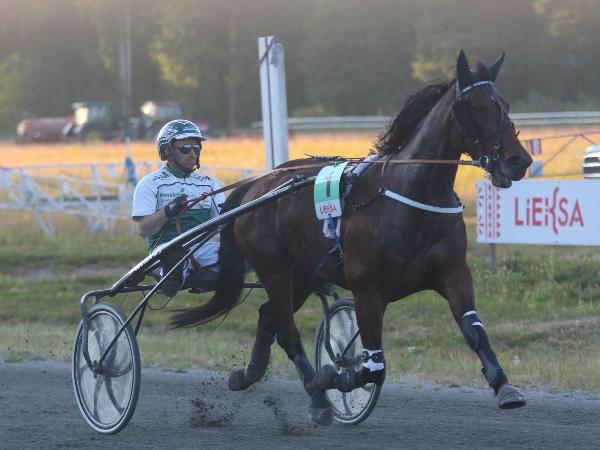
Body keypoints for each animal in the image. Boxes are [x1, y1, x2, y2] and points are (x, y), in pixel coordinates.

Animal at [172, 50, 533, 425]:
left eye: (505, 103)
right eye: (478, 106)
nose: (518, 160)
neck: (409, 197)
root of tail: (257, 187)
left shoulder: (454, 274)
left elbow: (475, 331)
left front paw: (505, 386)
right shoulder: (367, 290)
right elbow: (374, 367)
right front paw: (333, 377)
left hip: (303, 275)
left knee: (269, 316)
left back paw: (249, 374)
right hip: (274, 271)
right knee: (287, 329)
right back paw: (317, 397)